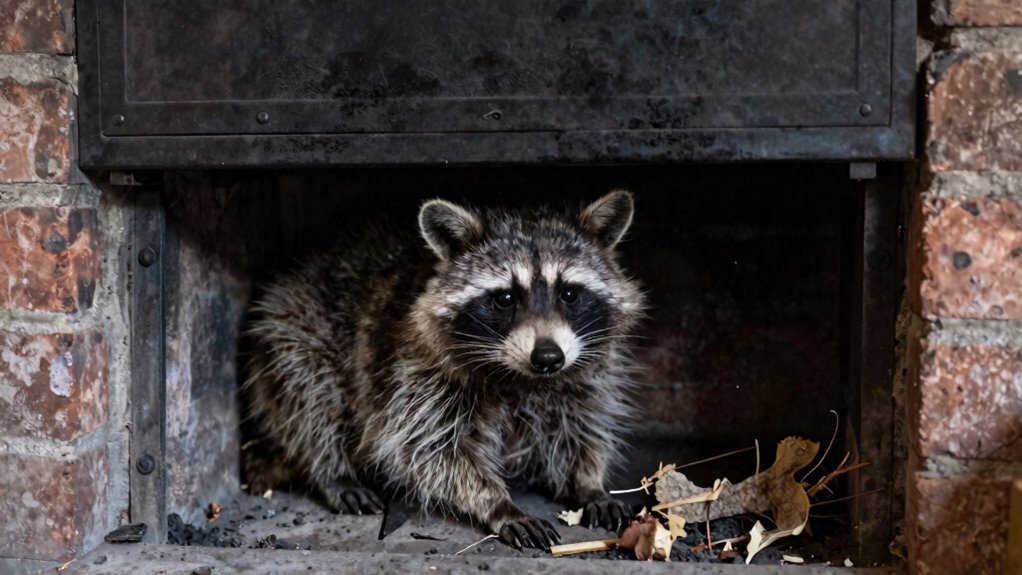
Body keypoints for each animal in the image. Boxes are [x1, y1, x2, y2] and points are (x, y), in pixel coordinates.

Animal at [243, 190, 645, 550]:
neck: (522, 378)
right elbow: (434, 450)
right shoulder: (418, 376)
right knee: (310, 398)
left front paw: (588, 480)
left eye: (569, 293)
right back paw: (331, 471)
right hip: (298, 326)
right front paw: (498, 504)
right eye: (505, 298)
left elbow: (583, 425)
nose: (547, 357)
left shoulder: (584, 375)